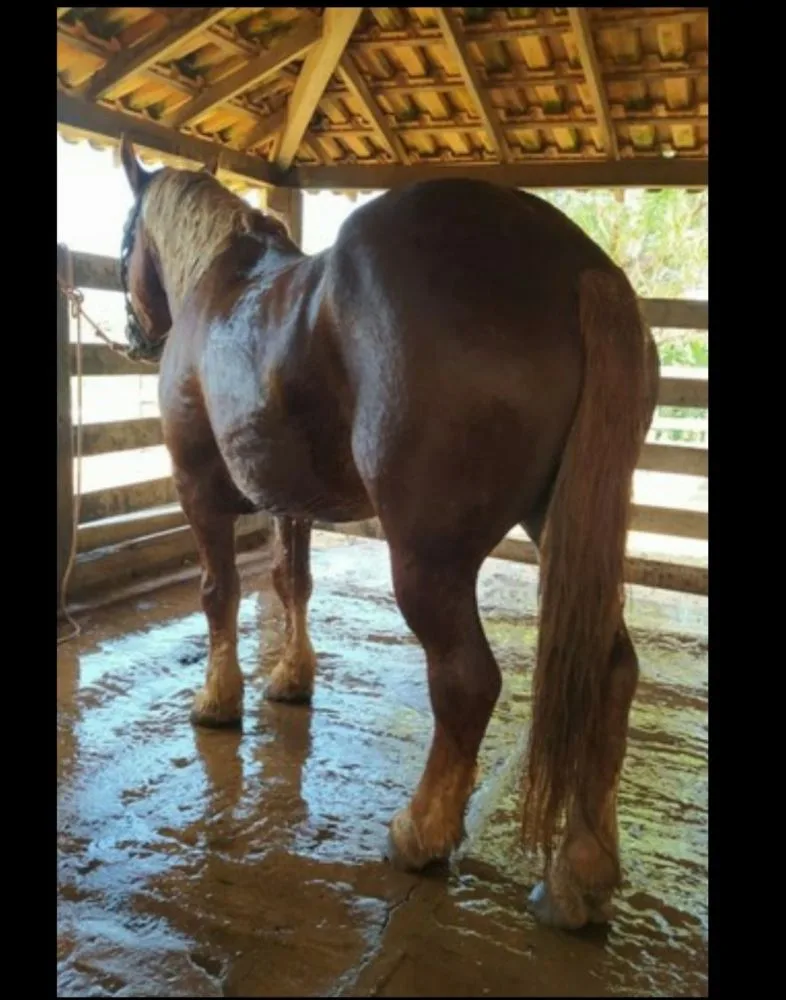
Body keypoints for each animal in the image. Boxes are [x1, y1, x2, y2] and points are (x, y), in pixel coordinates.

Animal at [117, 136, 659, 931]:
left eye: (127, 239)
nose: (136, 335)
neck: (223, 284)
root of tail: (577, 265)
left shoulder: (199, 491)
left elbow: (219, 593)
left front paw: (217, 701)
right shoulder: (291, 499)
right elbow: (292, 582)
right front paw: (292, 680)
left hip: (428, 557)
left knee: (467, 680)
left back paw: (421, 832)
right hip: (563, 524)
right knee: (611, 670)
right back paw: (580, 873)